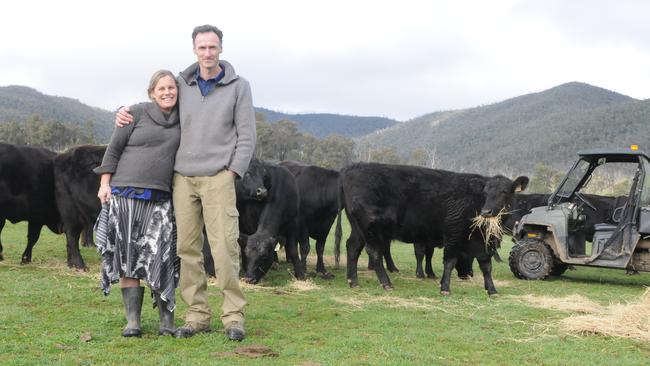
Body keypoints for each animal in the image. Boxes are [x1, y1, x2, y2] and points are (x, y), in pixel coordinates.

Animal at [336, 164, 524, 296]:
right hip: (371, 229)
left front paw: (491, 289)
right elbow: (449, 261)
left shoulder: (483, 243)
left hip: (358, 229)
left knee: (352, 247)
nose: (486, 212)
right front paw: (445, 288)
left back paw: (353, 281)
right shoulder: (453, 235)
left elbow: (486, 266)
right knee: (374, 252)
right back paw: (386, 283)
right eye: (485, 193)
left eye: (504, 192)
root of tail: (350, 168)